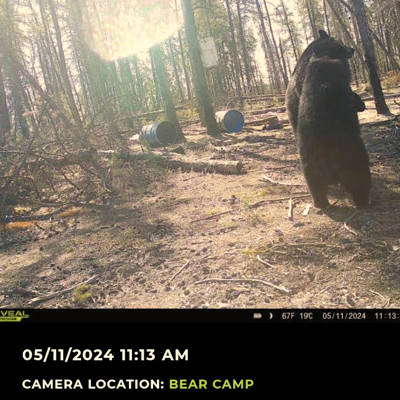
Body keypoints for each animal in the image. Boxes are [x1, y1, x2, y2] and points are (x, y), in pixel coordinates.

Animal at [297, 55, 371, 209]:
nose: (363, 104)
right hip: (352, 160)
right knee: (359, 181)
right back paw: (363, 201)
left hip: (311, 166)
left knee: (316, 186)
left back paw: (321, 203)